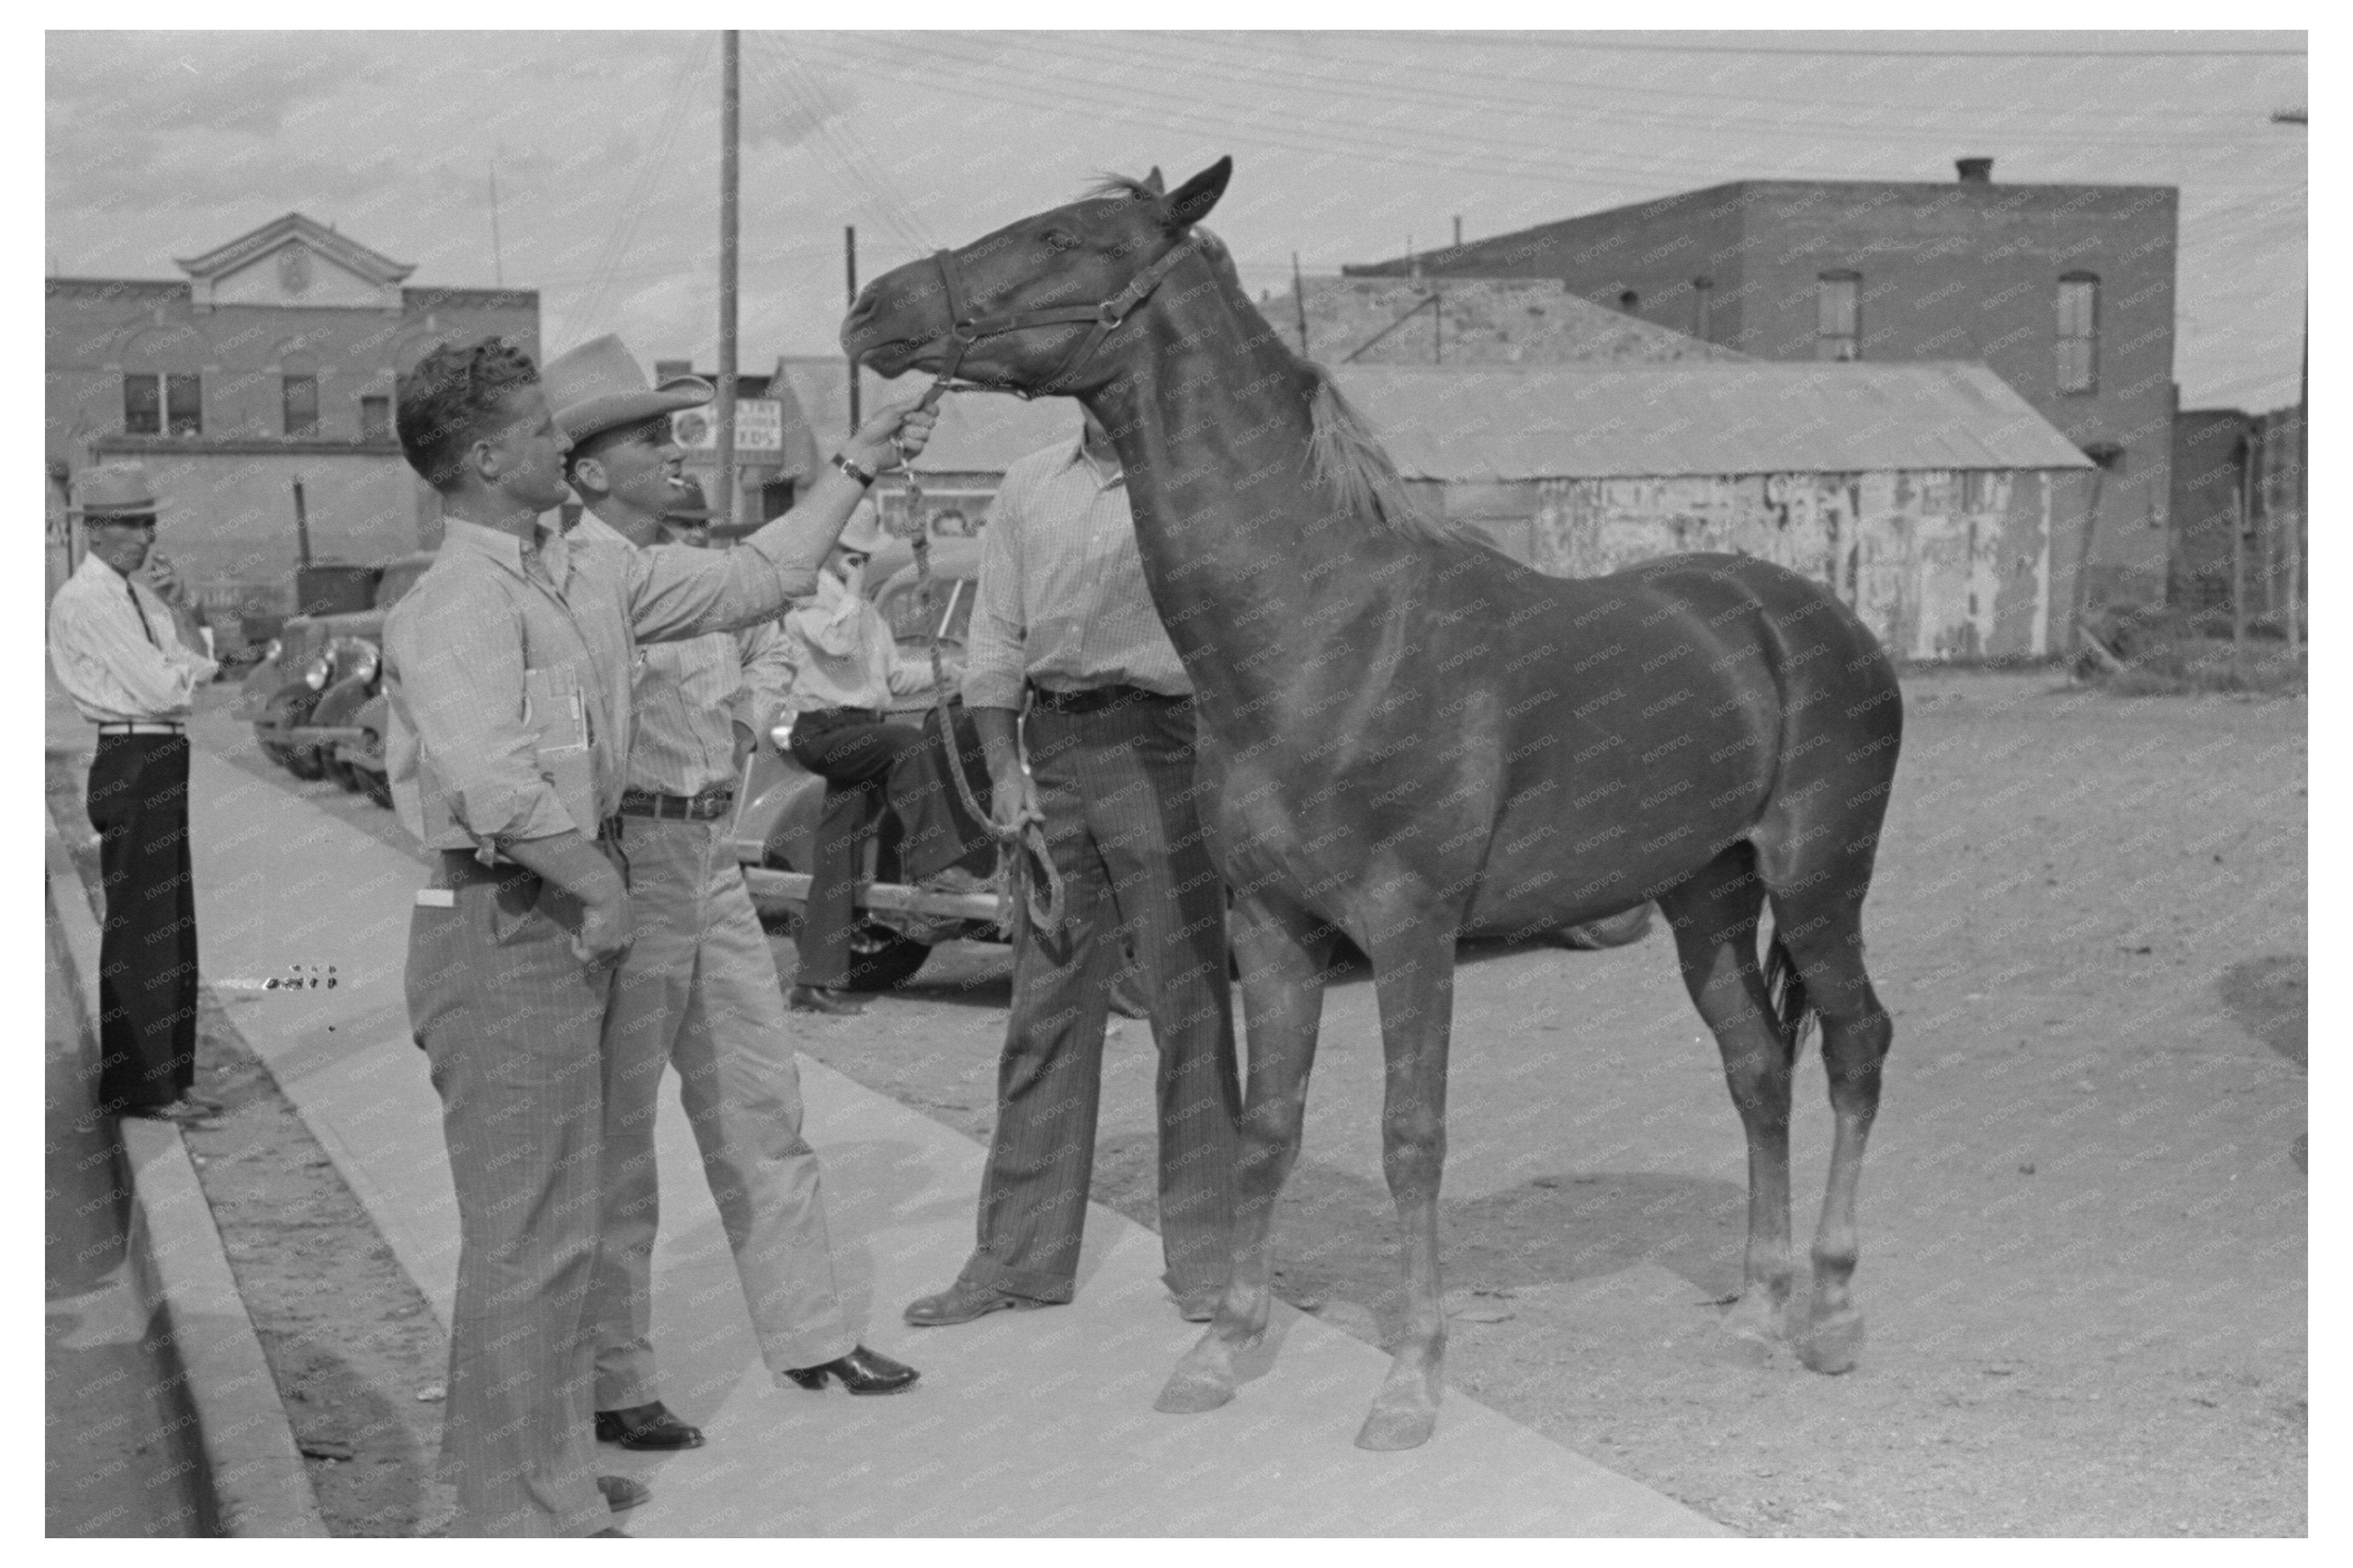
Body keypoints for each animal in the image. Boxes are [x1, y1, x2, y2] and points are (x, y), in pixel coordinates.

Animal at [852, 159, 1910, 1450]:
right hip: (1707, 895)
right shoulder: (1272, 929)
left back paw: (1836, 1313)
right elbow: (1267, 1128)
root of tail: (1812, 624)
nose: (875, 307)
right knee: (1757, 1066)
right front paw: (1223, 1349)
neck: (1327, 633)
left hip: (1817, 883)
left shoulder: (1412, 930)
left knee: (1855, 1049)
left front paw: (1410, 1379)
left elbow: (1413, 1138)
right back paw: (1758, 1311)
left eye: (1064, 236)